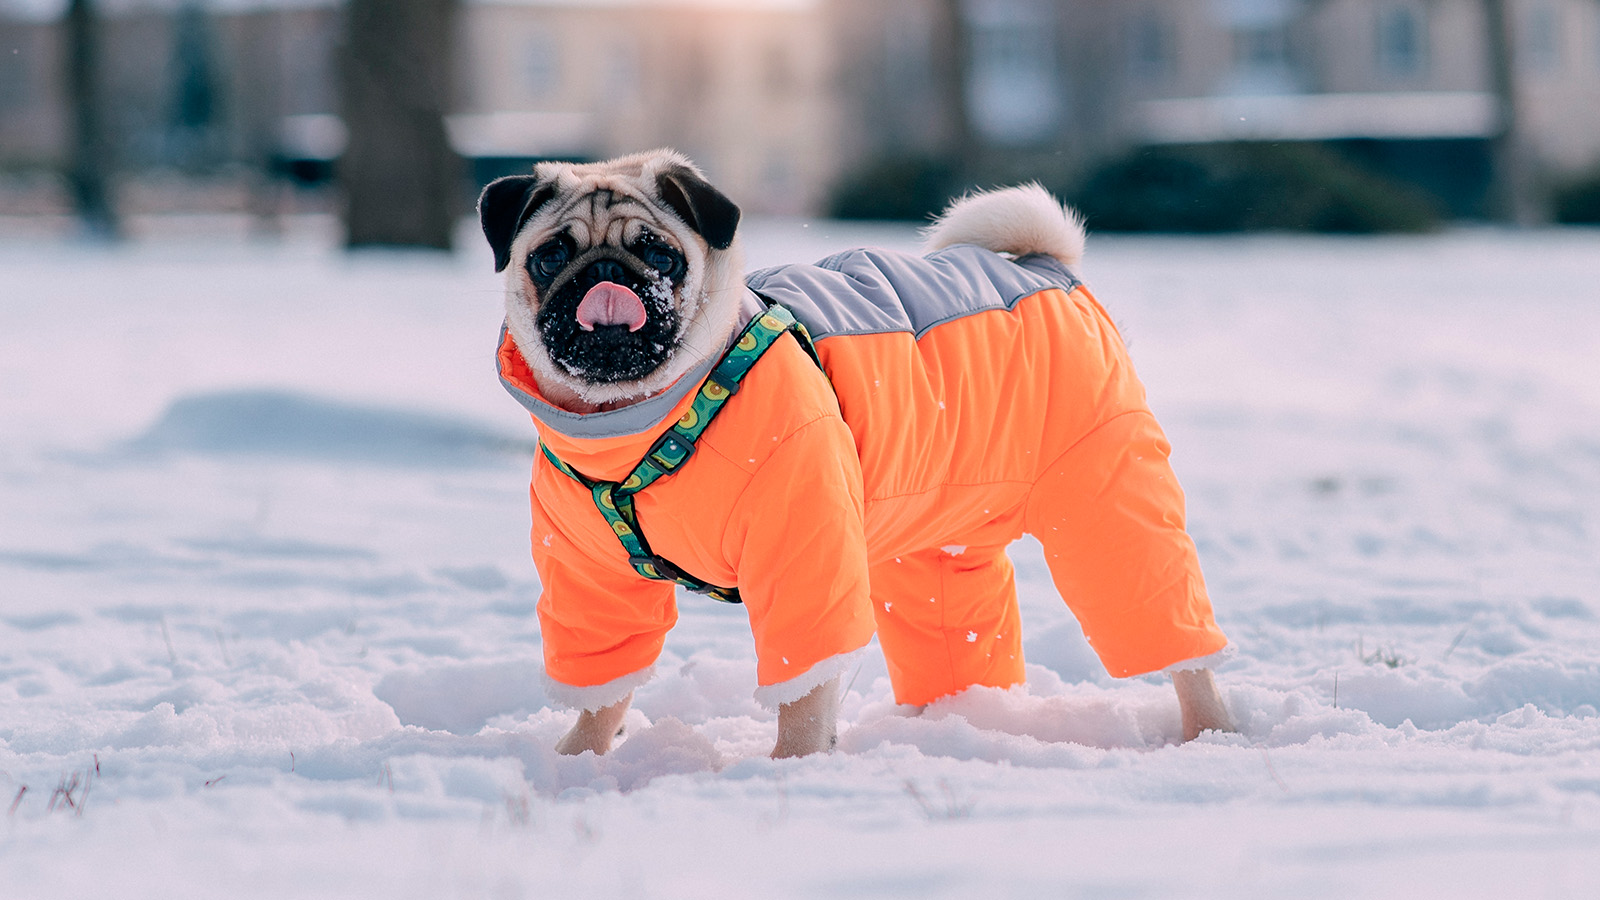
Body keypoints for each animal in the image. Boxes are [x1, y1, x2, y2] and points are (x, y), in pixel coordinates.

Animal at [480, 148, 1228, 755]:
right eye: (550, 256)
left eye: (661, 256)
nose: (607, 275)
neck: (636, 420)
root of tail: (1046, 265)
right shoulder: (590, 580)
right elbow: (604, 687)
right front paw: (577, 760)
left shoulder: (803, 550)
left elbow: (804, 688)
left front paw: (794, 766)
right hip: (931, 539)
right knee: (956, 628)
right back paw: (955, 723)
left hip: (1106, 505)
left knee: (1171, 631)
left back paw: (1210, 733)